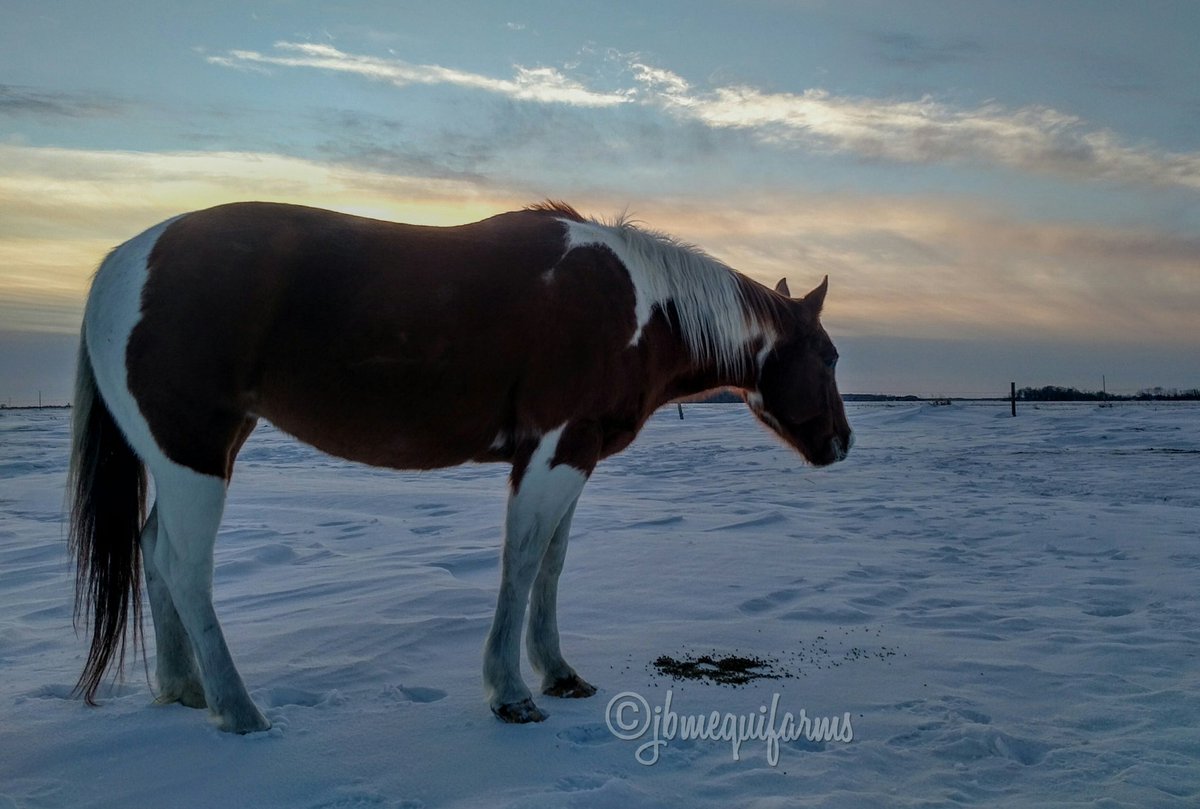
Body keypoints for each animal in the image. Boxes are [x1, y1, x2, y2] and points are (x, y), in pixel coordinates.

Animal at [67, 200, 852, 733]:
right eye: (830, 355)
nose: (842, 442)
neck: (637, 306)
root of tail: (122, 262)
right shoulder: (555, 451)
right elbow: (523, 561)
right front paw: (512, 692)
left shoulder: (577, 455)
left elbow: (552, 565)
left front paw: (559, 673)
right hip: (194, 453)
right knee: (185, 567)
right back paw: (238, 709)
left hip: (194, 452)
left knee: (153, 552)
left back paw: (186, 689)